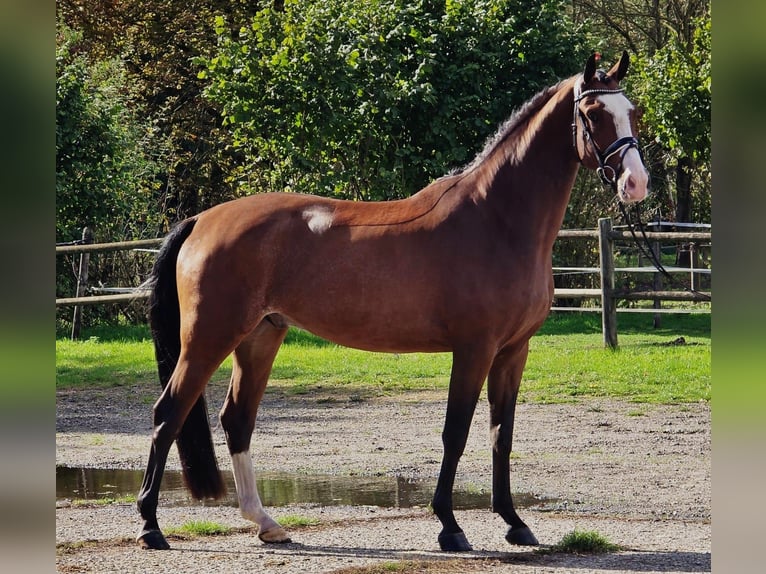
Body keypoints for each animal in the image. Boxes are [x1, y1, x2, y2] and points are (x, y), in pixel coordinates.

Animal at [136, 51, 648, 552]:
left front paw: (514, 522)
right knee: (168, 414)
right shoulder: (474, 349)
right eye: (593, 113)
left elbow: (501, 435)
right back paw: (150, 527)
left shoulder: (513, 351)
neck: (497, 221)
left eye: (634, 111)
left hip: (261, 337)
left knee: (237, 420)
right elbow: (455, 433)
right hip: (208, 338)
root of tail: (202, 220)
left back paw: (266, 523)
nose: (636, 183)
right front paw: (450, 526)